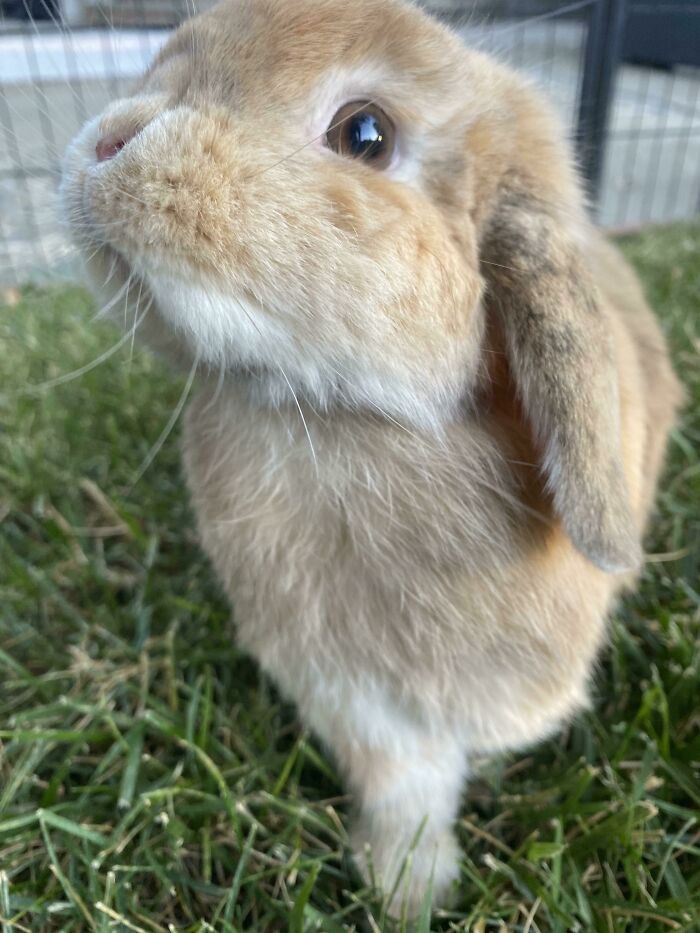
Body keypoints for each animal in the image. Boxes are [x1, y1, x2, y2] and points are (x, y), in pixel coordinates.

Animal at [60, 0, 683, 913]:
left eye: (365, 135)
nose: (111, 138)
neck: (344, 421)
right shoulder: (351, 696)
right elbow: (401, 783)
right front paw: (406, 885)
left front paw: (412, 893)